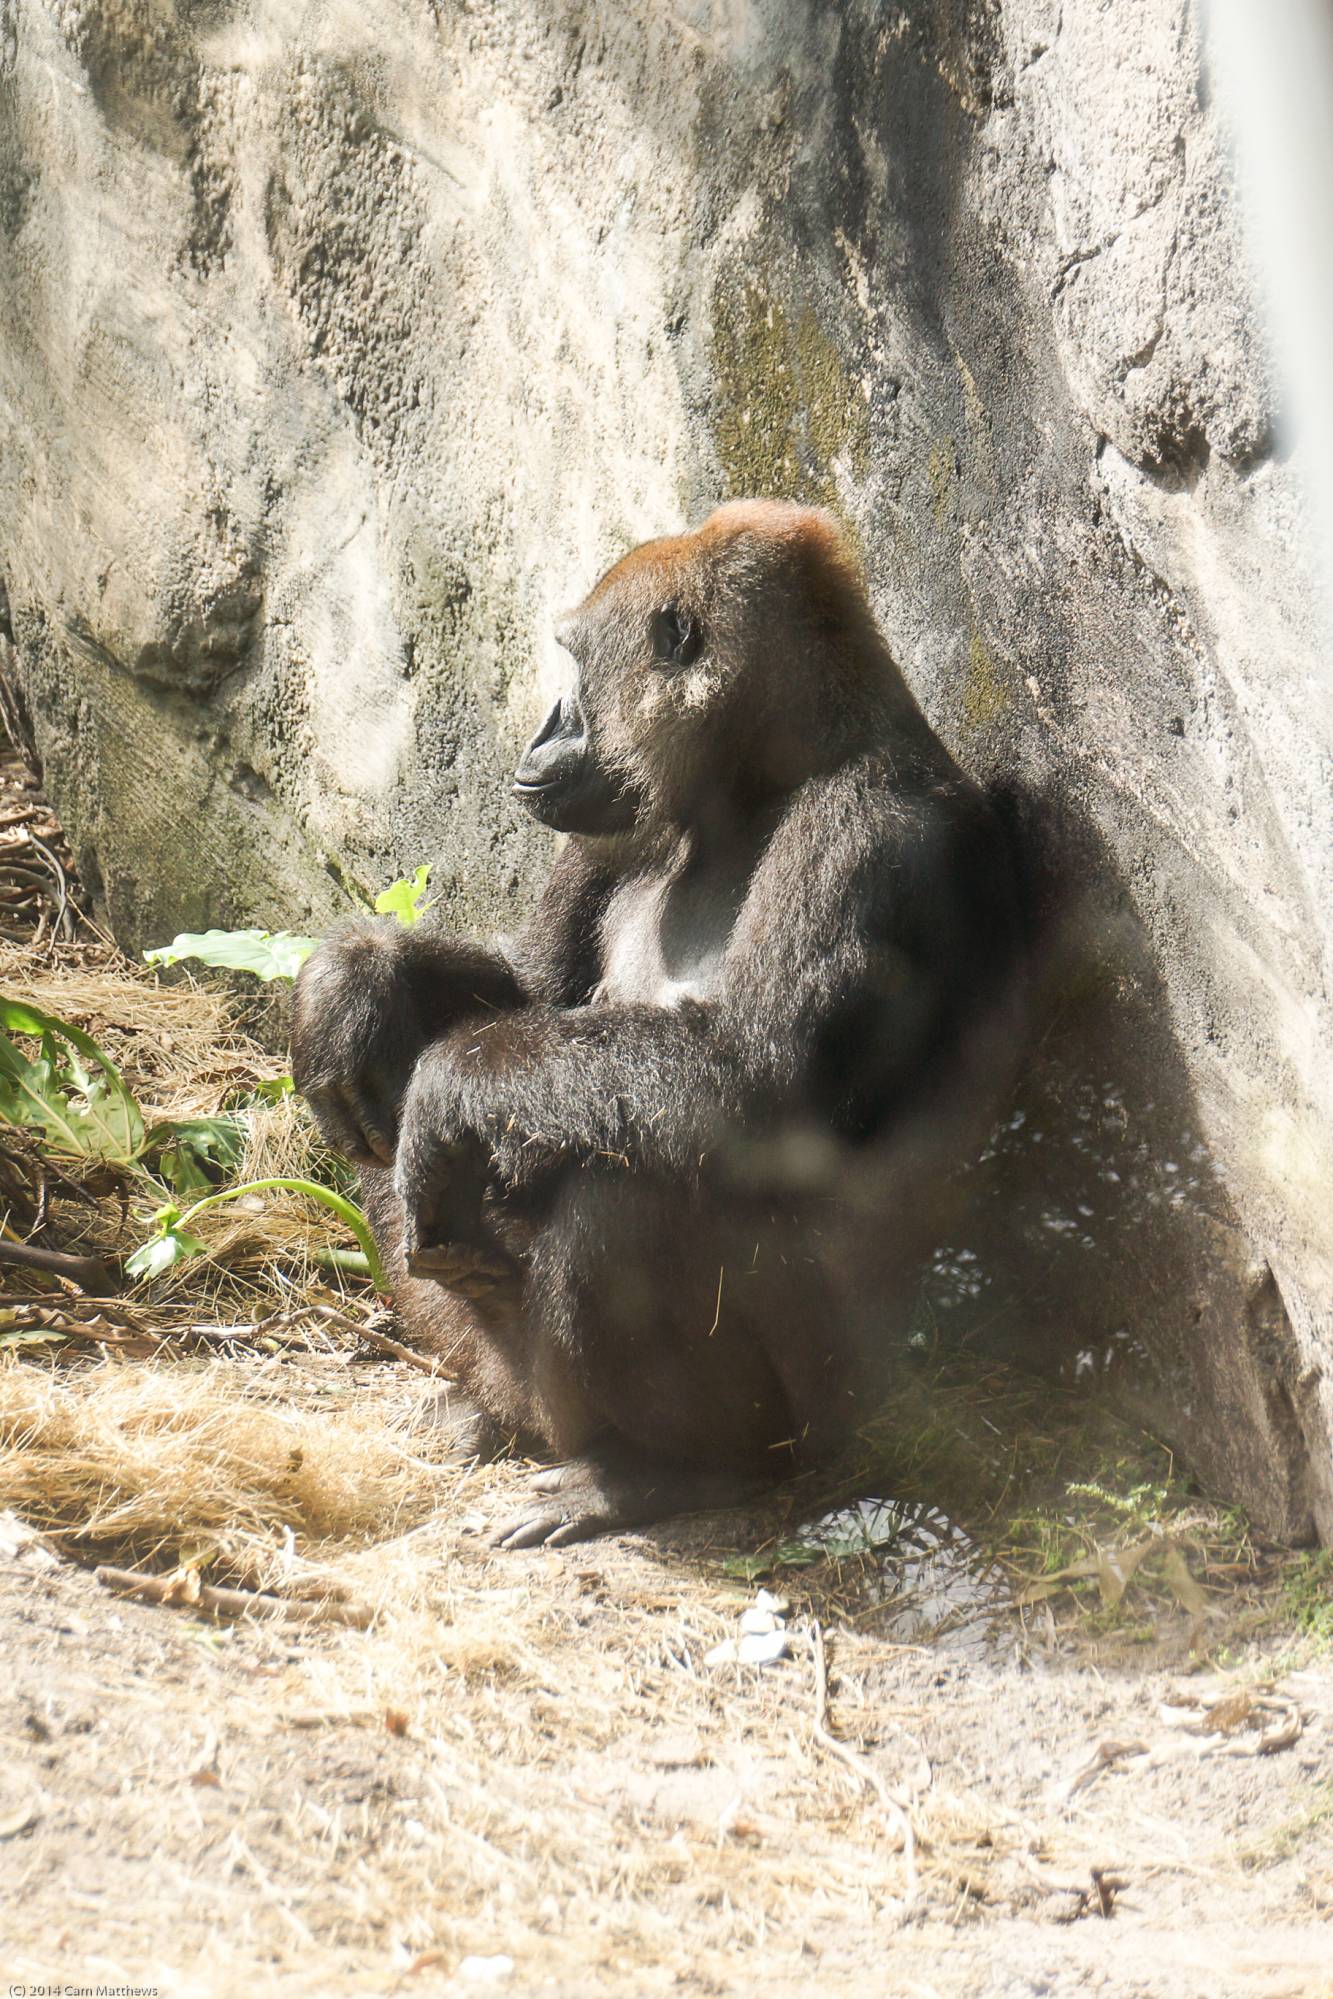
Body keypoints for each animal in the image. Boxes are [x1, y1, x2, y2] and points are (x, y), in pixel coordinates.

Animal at [293, 499, 1023, 1543]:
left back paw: (665, 1471)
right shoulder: (615, 817)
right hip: (535, 1385)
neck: (763, 776)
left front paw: (444, 1083)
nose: (545, 727)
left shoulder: (866, 834)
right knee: (380, 1124)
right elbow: (530, 987)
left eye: (574, 662)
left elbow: (751, 1086)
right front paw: (353, 982)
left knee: (618, 1202)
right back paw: (485, 1404)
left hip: (839, 1417)